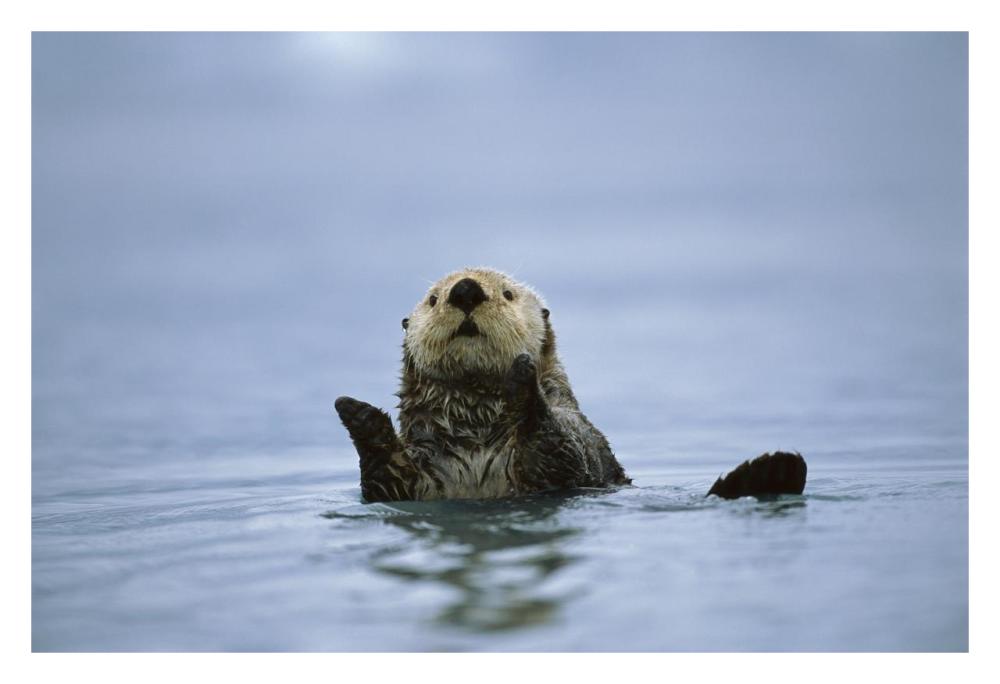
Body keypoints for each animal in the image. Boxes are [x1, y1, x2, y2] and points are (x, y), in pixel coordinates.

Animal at [335, 267, 806, 502]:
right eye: (433, 298)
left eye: (507, 294)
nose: (465, 290)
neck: (475, 431)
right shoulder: (418, 477)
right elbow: (386, 478)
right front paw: (354, 412)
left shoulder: (567, 446)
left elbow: (558, 447)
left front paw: (524, 380)